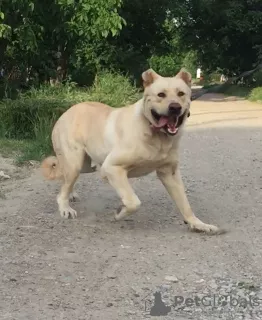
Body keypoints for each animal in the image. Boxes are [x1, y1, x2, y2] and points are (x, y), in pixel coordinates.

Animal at [42, 69, 220, 232]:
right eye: (161, 94)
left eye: (181, 93)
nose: (175, 107)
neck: (155, 134)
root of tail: (66, 112)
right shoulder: (112, 168)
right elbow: (133, 201)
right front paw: (120, 212)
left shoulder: (170, 174)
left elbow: (185, 204)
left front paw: (198, 224)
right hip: (76, 164)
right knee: (62, 189)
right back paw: (65, 207)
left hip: (85, 165)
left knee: (65, 180)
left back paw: (70, 194)